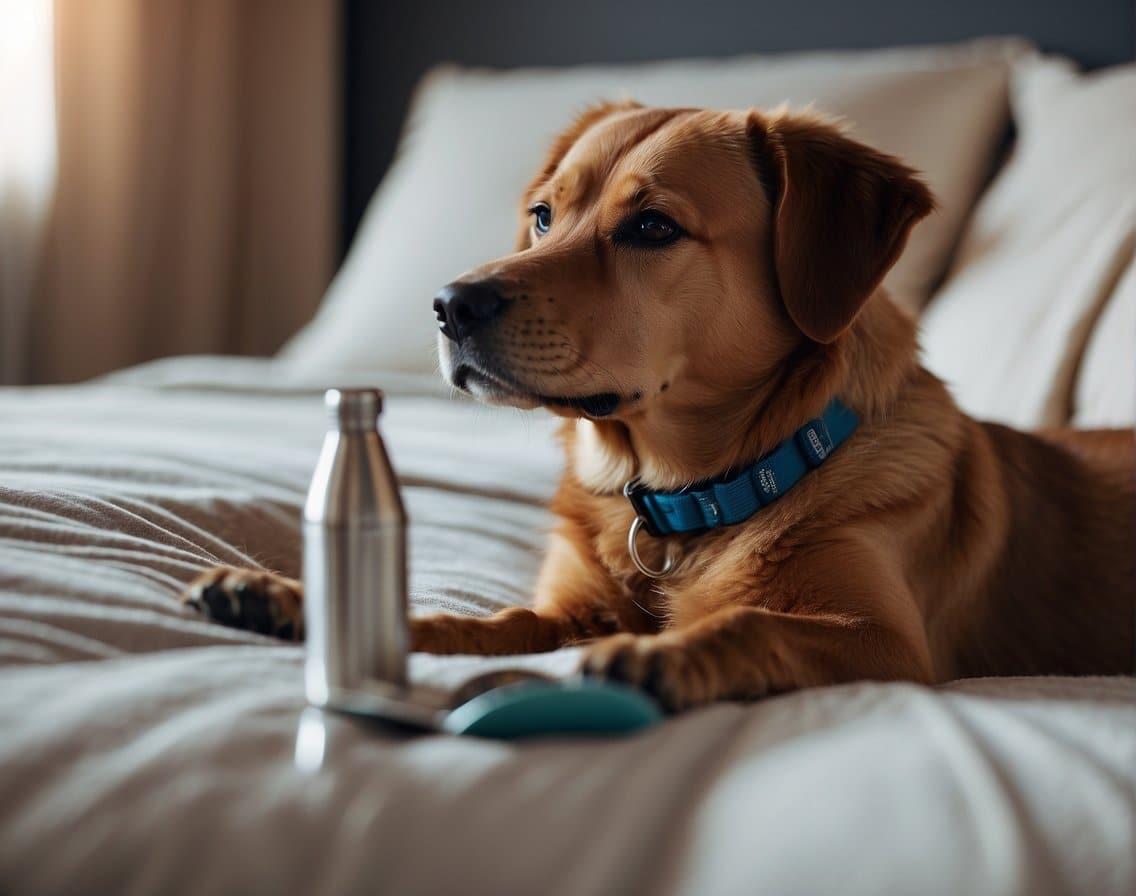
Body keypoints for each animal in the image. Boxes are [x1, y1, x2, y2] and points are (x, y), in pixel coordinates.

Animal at [181, 103, 1131, 704]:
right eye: (541, 215)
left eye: (651, 228)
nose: (448, 304)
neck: (681, 501)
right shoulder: (563, 610)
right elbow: (469, 621)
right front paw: (289, 598)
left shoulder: (883, 639)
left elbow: (748, 625)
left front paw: (660, 654)